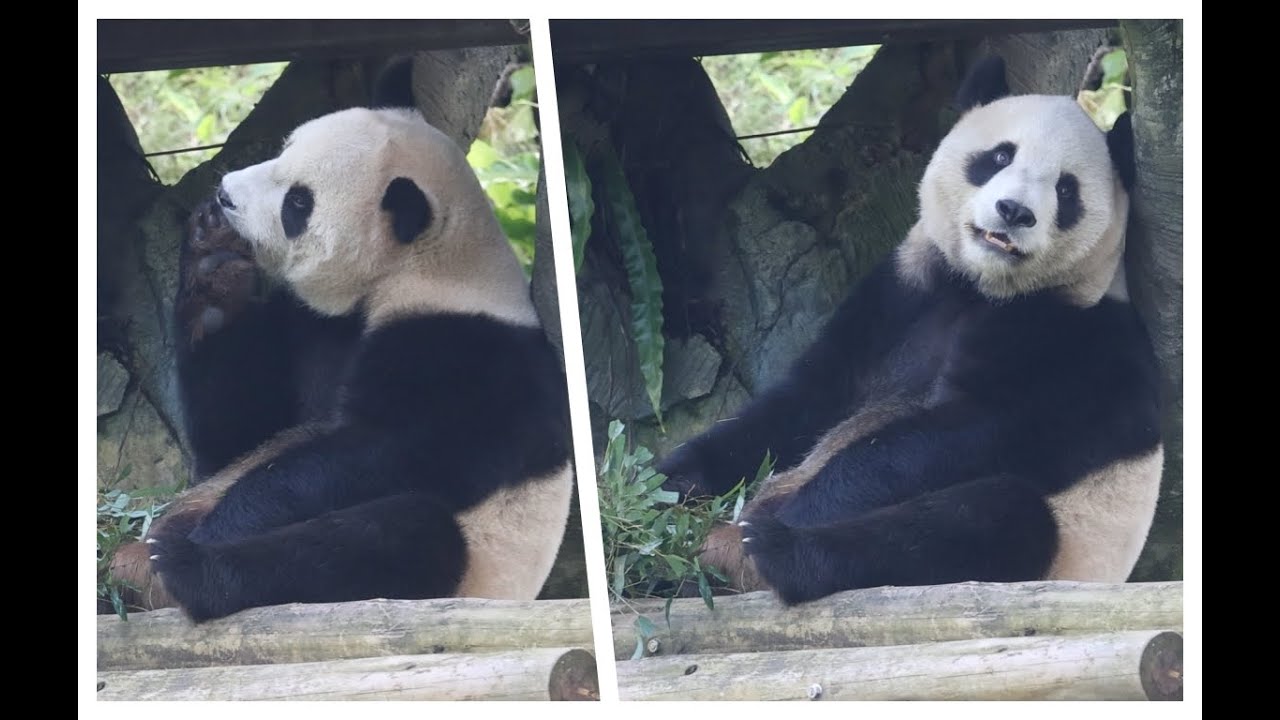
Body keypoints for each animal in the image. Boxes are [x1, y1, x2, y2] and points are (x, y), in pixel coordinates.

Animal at [108, 67, 574, 622]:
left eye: (297, 203)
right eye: (284, 148)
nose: (224, 196)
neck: (419, 270)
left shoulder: (469, 358)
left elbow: (381, 453)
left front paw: (222, 528)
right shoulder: (315, 325)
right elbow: (236, 442)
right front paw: (212, 275)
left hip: (472, 569)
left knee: (404, 535)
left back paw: (187, 569)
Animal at [656, 56, 1164, 605]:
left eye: (1066, 190)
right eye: (999, 156)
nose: (1014, 212)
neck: (980, 288)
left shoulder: (1076, 347)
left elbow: (955, 437)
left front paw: (777, 516)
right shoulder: (901, 292)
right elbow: (801, 402)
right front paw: (661, 483)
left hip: (1063, 549)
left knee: (993, 518)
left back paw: (775, 553)